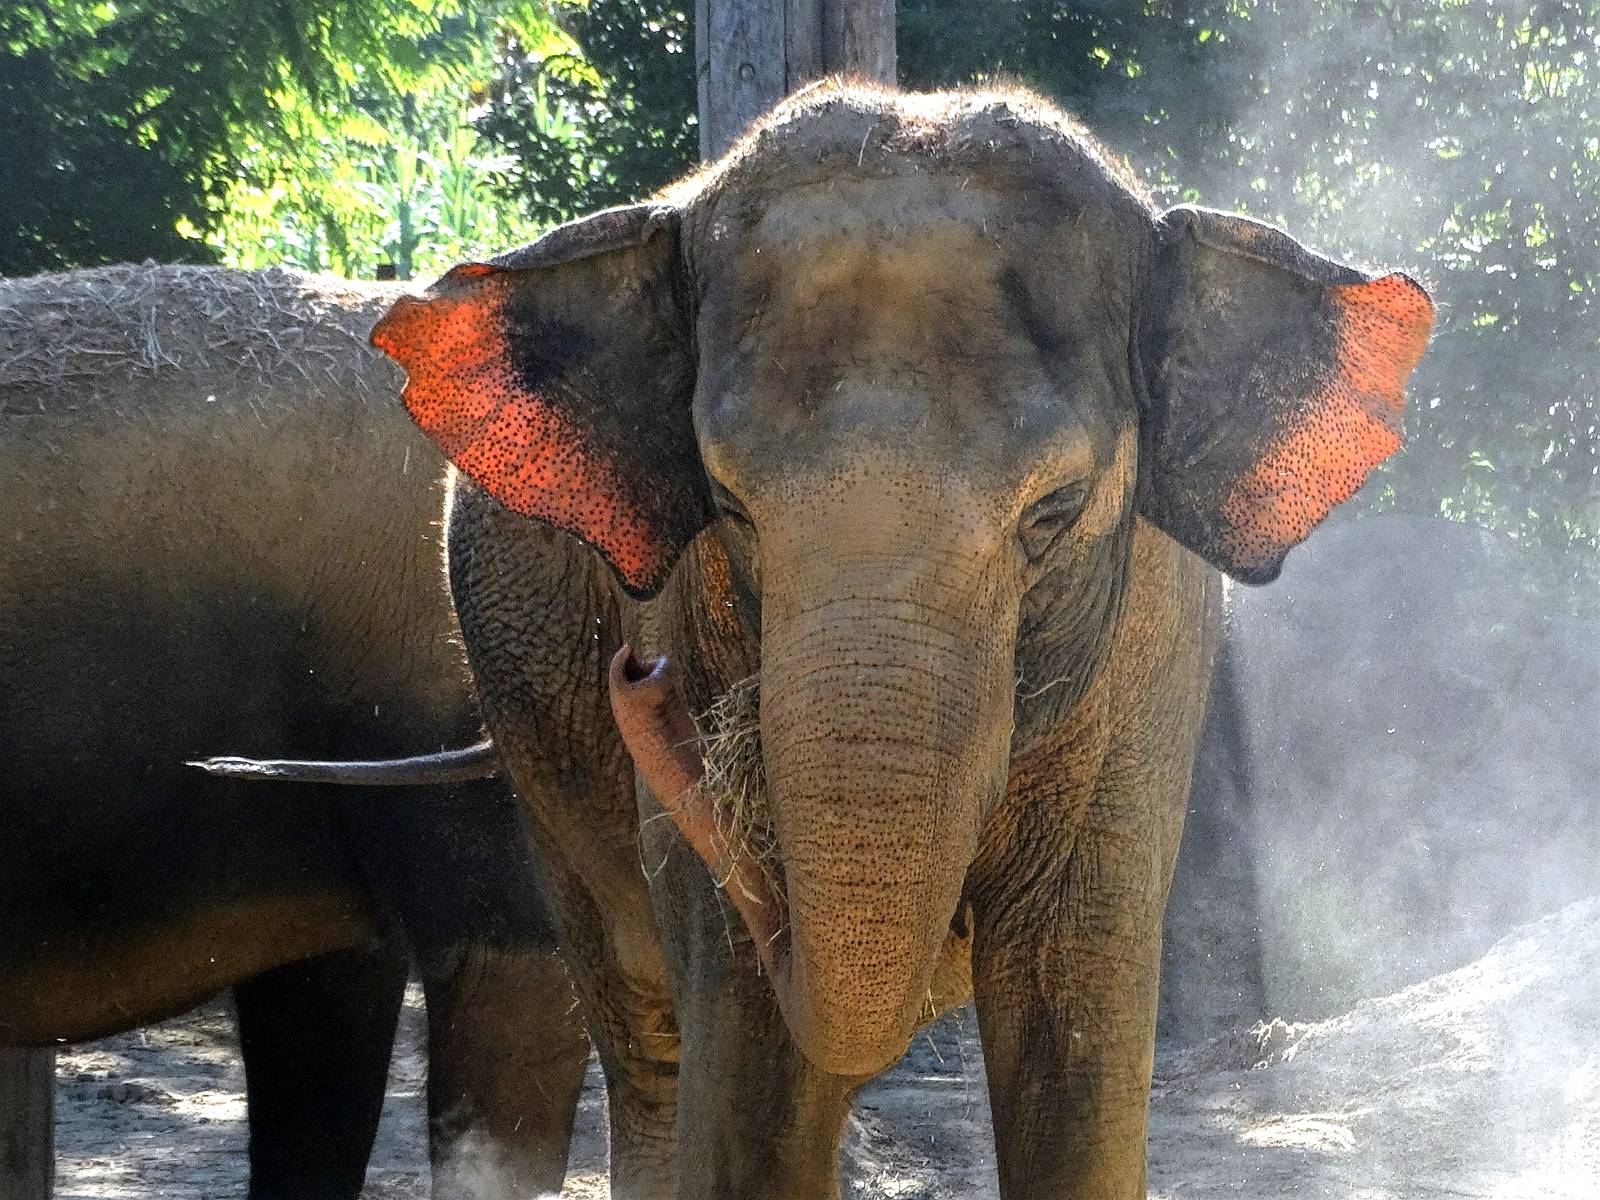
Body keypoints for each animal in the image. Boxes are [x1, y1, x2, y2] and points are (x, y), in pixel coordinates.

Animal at [236, 82, 1434, 1198]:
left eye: (1055, 511)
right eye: (727, 502)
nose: (639, 671)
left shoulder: (1148, 658)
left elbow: (1074, 1046)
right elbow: (750, 1076)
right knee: (644, 1036)